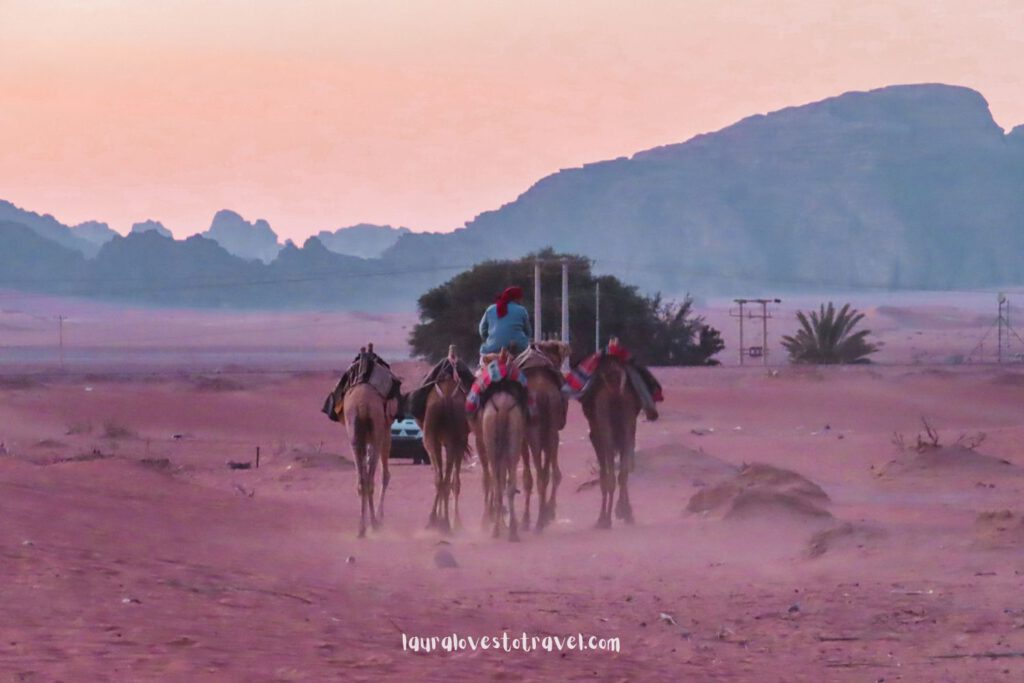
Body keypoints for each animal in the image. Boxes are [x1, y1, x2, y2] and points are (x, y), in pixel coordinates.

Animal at [417, 344, 473, 532]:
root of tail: (446, 399)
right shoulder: (459, 441)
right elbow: (456, 482)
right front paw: (457, 521)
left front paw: (442, 519)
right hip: (453, 440)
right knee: (447, 480)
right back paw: (446, 522)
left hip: (432, 439)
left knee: (440, 479)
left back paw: (435, 520)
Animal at [516, 342, 573, 532]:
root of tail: (543, 393)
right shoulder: (553, 432)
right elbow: (554, 472)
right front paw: (550, 511)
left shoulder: (523, 438)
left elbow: (528, 478)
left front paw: (526, 520)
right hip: (550, 430)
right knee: (549, 472)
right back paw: (545, 515)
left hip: (534, 432)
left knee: (540, 475)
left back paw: (538, 521)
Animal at [581, 342, 643, 528]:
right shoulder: (629, 427)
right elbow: (624, 469)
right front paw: (624, 511)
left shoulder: (596, 435)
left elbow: (604, 476)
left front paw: (603, 517)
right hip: (628, 420)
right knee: (622, 472)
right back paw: (624, 513)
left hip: (604, 424)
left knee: (610, 475)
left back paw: (605, 519)